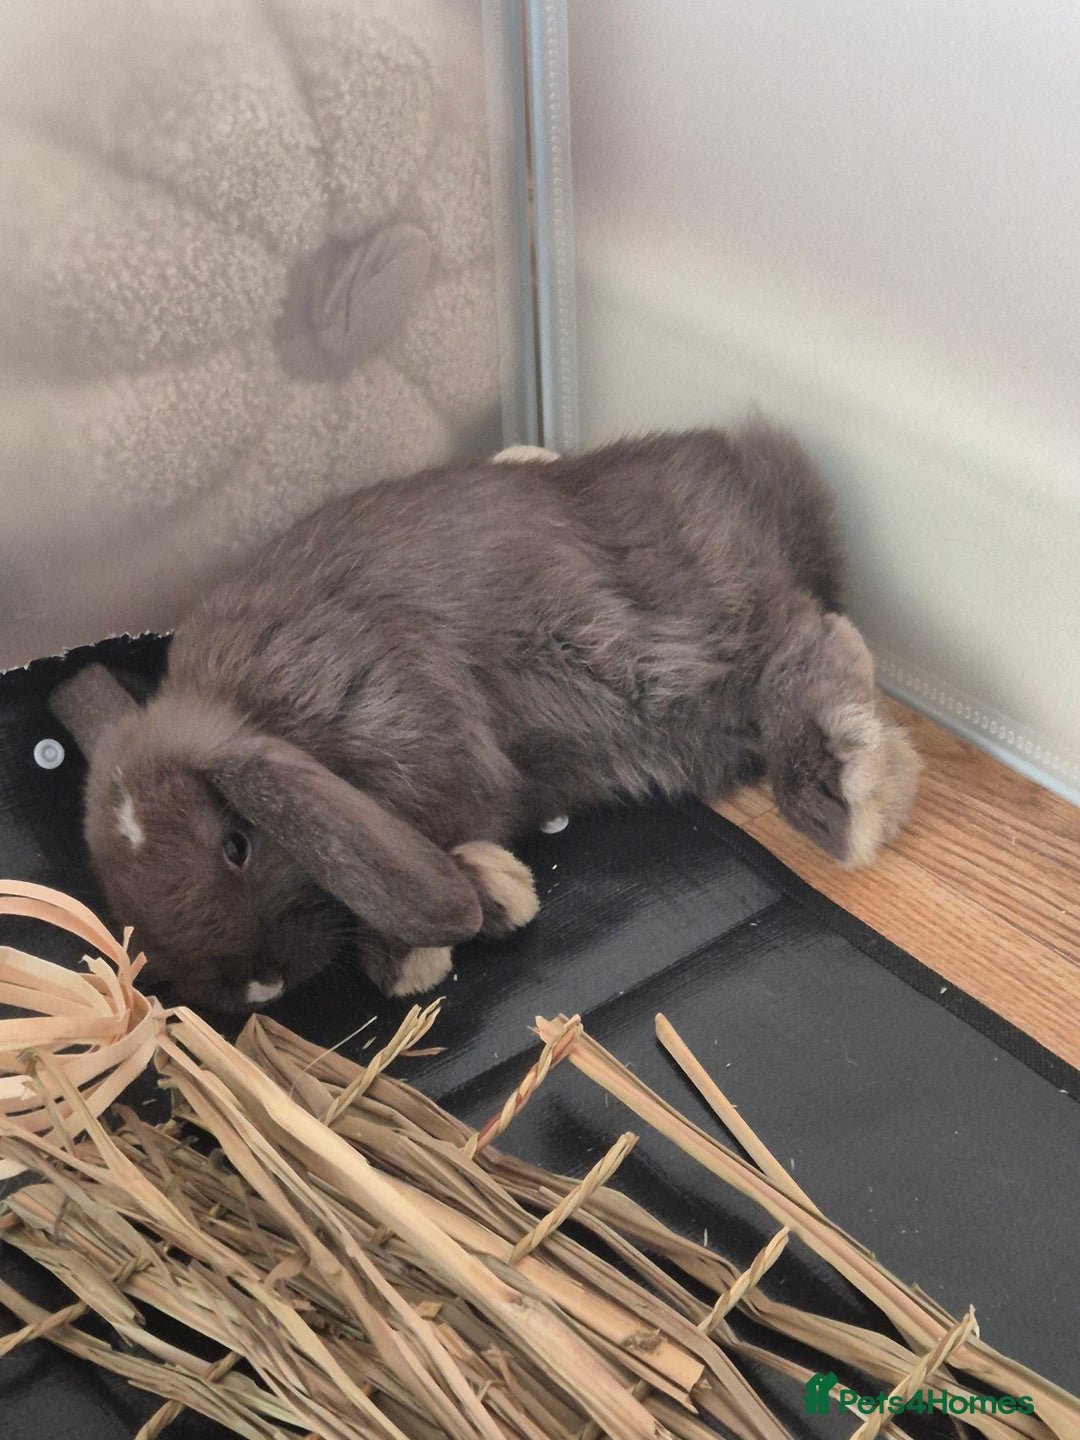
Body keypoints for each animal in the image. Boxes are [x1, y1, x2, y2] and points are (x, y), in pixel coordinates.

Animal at [50, 419, 919, 1012]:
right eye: (121, 904)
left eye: (237, 845)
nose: (258, 987)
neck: (263, 712)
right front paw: (482, 905)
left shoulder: (404, 722)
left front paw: (455, 923)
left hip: (696, 626)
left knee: (807, 644)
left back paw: (851, 787)